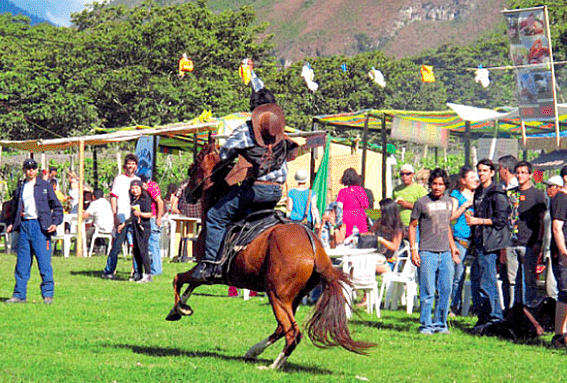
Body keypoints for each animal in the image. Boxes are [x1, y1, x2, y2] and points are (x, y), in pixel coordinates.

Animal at [166, 140, 374, 370]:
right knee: (282, 329)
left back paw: (271, 366)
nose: (187, 194)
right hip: (293, 298)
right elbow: (189, 285)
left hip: (278, 296)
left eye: (192, 168)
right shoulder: (208, 273)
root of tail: (315, 249)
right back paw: (254, 352)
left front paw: (178, 310)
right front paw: (179, 308)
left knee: (292, 332)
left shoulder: (203, 267)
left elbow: (178, 279)